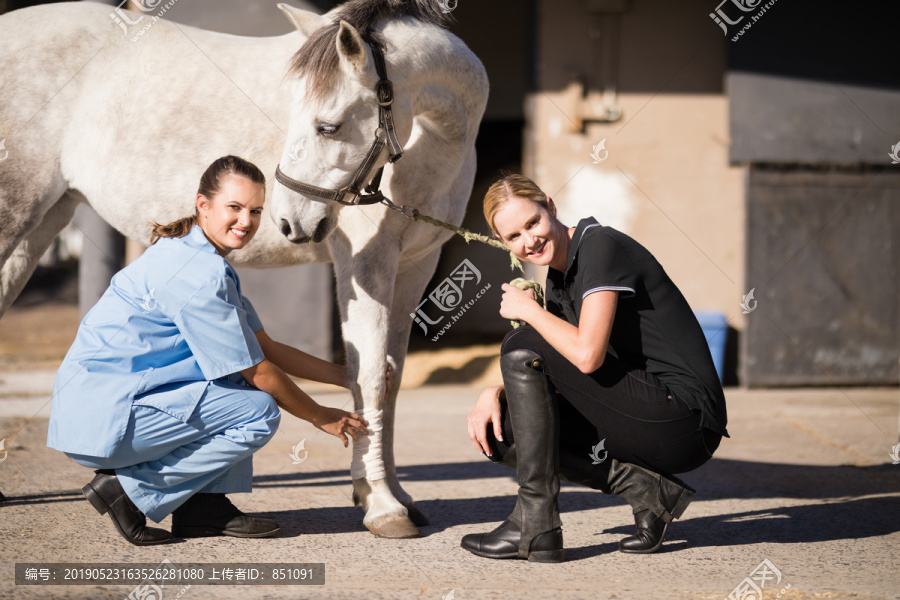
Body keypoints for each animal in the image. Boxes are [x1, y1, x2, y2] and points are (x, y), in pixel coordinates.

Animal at [0, 0, 488, 536]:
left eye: (328, 126)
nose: (288, 220)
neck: (431, 144)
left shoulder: (415, 266)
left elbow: (389, 379)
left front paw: (394, 495)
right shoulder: (367, 267)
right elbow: (369, 380)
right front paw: (381, 505)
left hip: (42, 224)